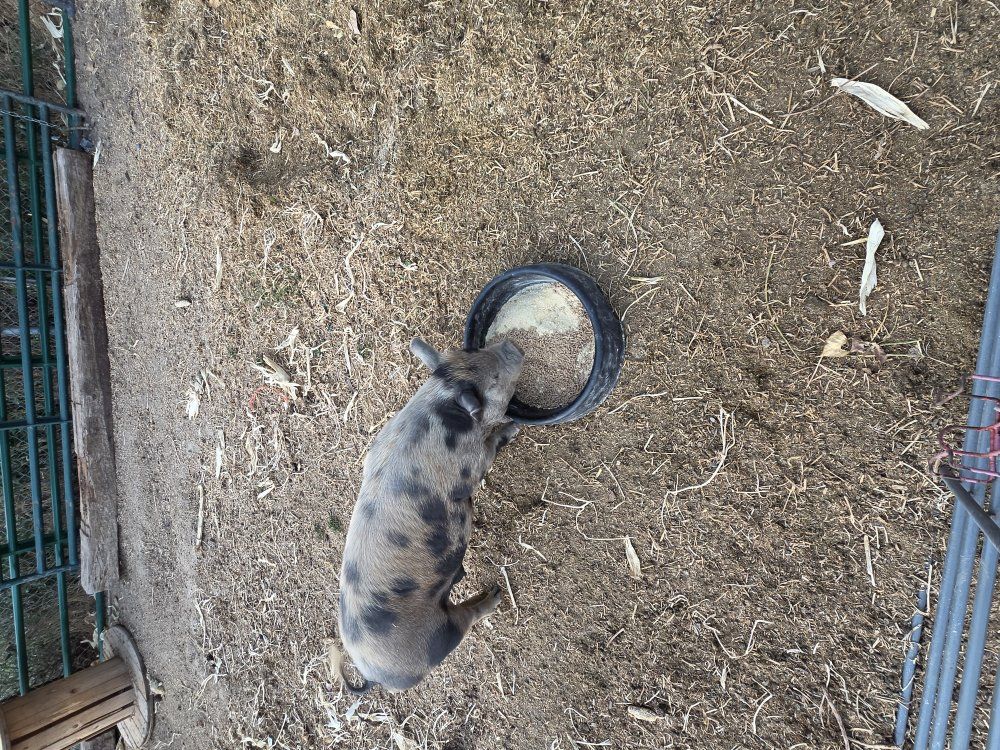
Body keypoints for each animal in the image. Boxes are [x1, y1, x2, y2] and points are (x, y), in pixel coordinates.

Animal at [336, 337, 524, 693]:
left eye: (472, 352)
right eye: (493, 380)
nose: (513, 347)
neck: (437, 400)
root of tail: (371, 674)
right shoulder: (470, 465)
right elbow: (490, 449)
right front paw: (515, 428)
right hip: (437, 635)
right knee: (465, 619)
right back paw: (494, 594)